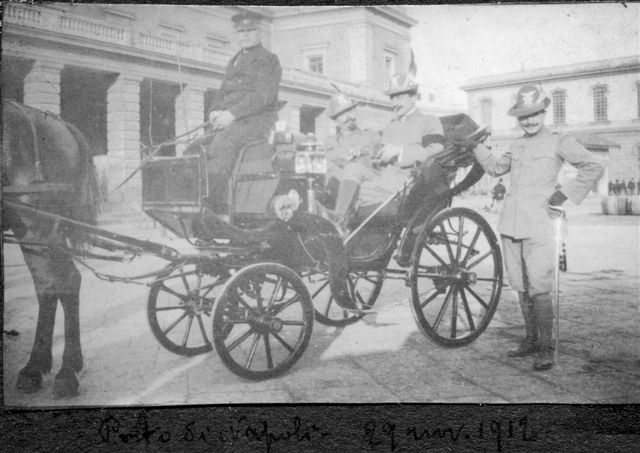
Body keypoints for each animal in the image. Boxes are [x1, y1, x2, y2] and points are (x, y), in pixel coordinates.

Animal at [2, 100, 98, 398]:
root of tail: (60, 123)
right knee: (54, 284)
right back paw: (39, 367)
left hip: (36, 226)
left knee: (60, 282)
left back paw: (64, 372)